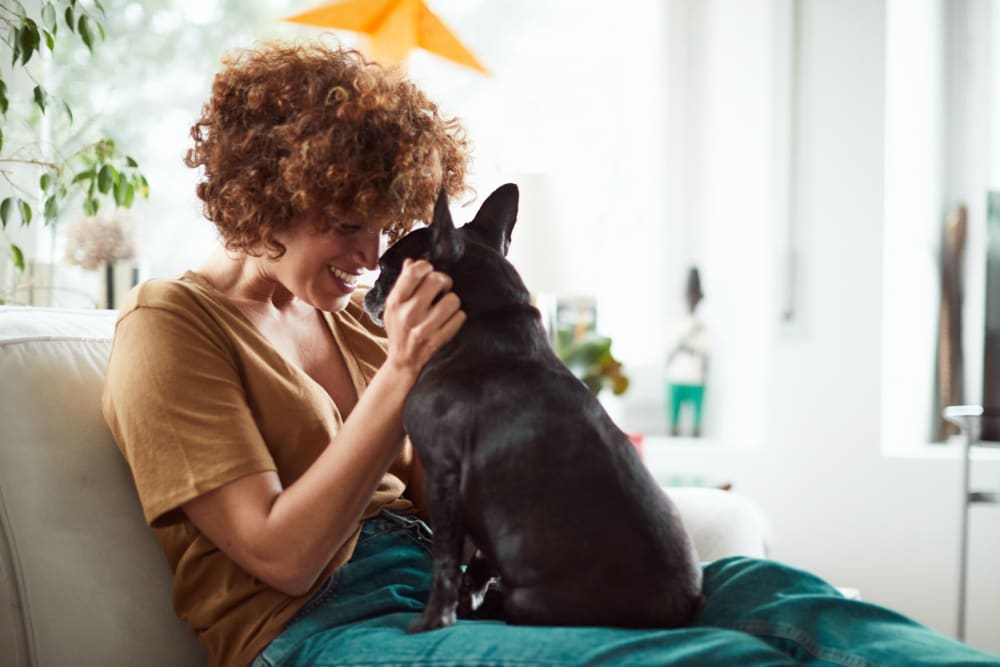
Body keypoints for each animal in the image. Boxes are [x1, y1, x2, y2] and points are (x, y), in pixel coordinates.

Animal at [362, 185, 704, 636]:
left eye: (387, 268)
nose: (369, 291)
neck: (486, 324)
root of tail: (680, 612)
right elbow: (479, 561)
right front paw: (468, 602)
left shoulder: (443, 476)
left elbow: (445, 560)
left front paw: (434, 618)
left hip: (531, 601)